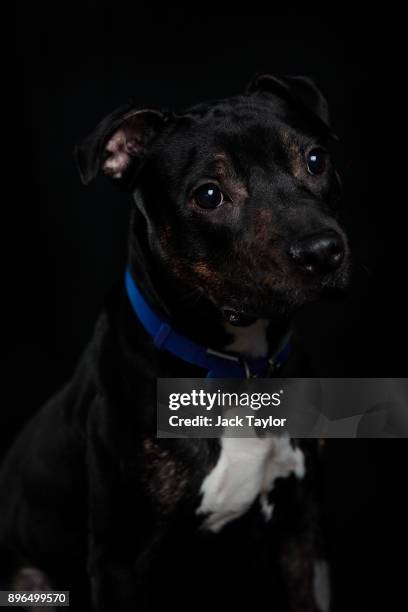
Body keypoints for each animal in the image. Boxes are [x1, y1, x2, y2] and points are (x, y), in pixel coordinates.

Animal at [0, 74, 350, 608]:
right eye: (208, 194)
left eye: (315, 159)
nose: (322, 251)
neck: (238, 369)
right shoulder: (118, 560)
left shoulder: (302, 527)